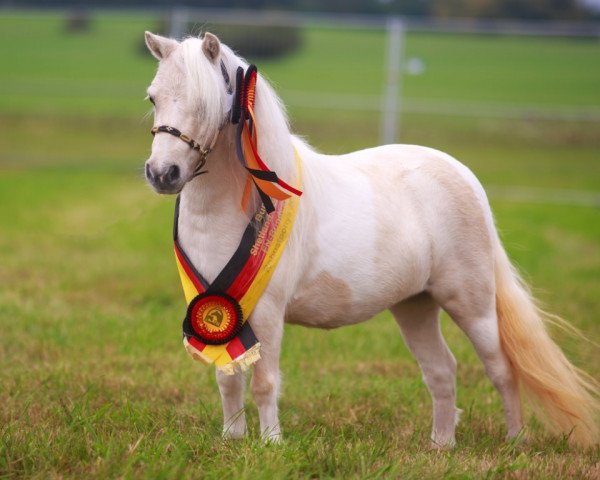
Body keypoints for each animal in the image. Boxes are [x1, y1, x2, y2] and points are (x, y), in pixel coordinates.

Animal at [143, 31, 596, 448]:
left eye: (205, 103)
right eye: (153, 98)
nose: (163, 173)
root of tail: (464, 175)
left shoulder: (267, 312)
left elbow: (264, 382)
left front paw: (271, 444)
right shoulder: (218, 306)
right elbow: (228, 379)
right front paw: (231, 440)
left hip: (472, 303)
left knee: (500, 368)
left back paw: (515, 442)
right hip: (415, 305)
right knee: (442, 370)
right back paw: (441, 445)